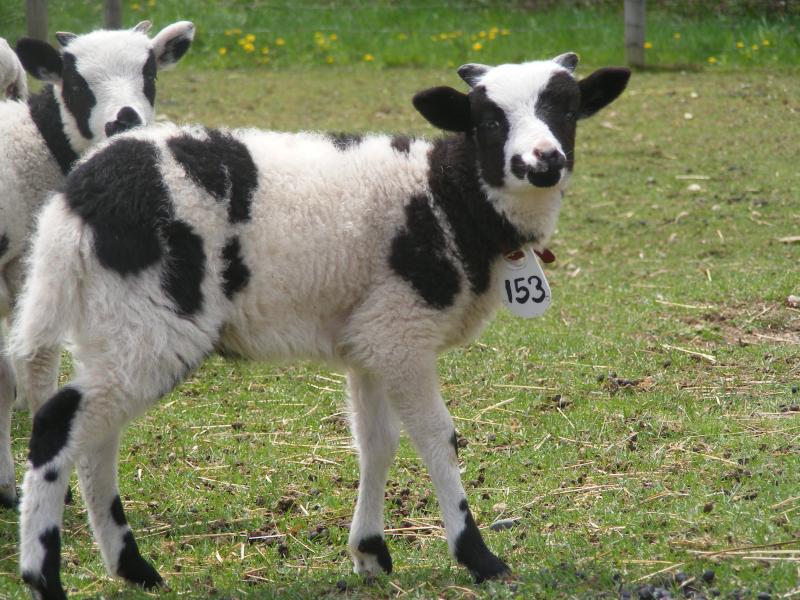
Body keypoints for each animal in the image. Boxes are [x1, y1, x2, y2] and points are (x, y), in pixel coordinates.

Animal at [10, 53, 630, 598]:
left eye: (568, 110)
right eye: (489, 119)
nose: (543, 162)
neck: (446, 195)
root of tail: (78, 198)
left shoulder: (372, 337)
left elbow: (376, 442)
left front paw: (370, 553)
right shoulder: (403, 330)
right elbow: (438, 437)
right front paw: (477, 555)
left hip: (113, 320)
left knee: (96, 438)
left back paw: (134, 569)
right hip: (151, 317)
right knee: (59, 422)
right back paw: (43, 576)